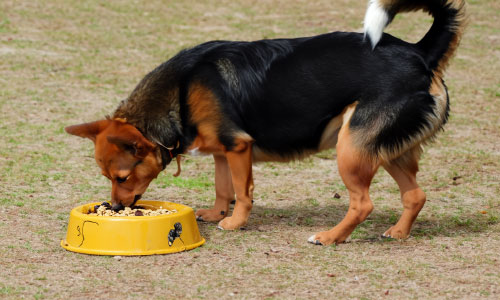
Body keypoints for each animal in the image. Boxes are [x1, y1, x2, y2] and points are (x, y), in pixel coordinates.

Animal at [65, 0, 464, 245]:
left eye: (122, 178)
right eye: (107, 178)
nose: (116, 208)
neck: (181, 90)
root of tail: (420, 51)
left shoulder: (238, 146)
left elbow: (242, 193)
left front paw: (234, 223)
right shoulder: (222, 151)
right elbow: (222, 188)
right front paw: (215, 213)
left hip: (351, 147)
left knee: (363, 204)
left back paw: (330, 237)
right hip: (384, 147)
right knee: (415, 194)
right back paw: (398, 233)